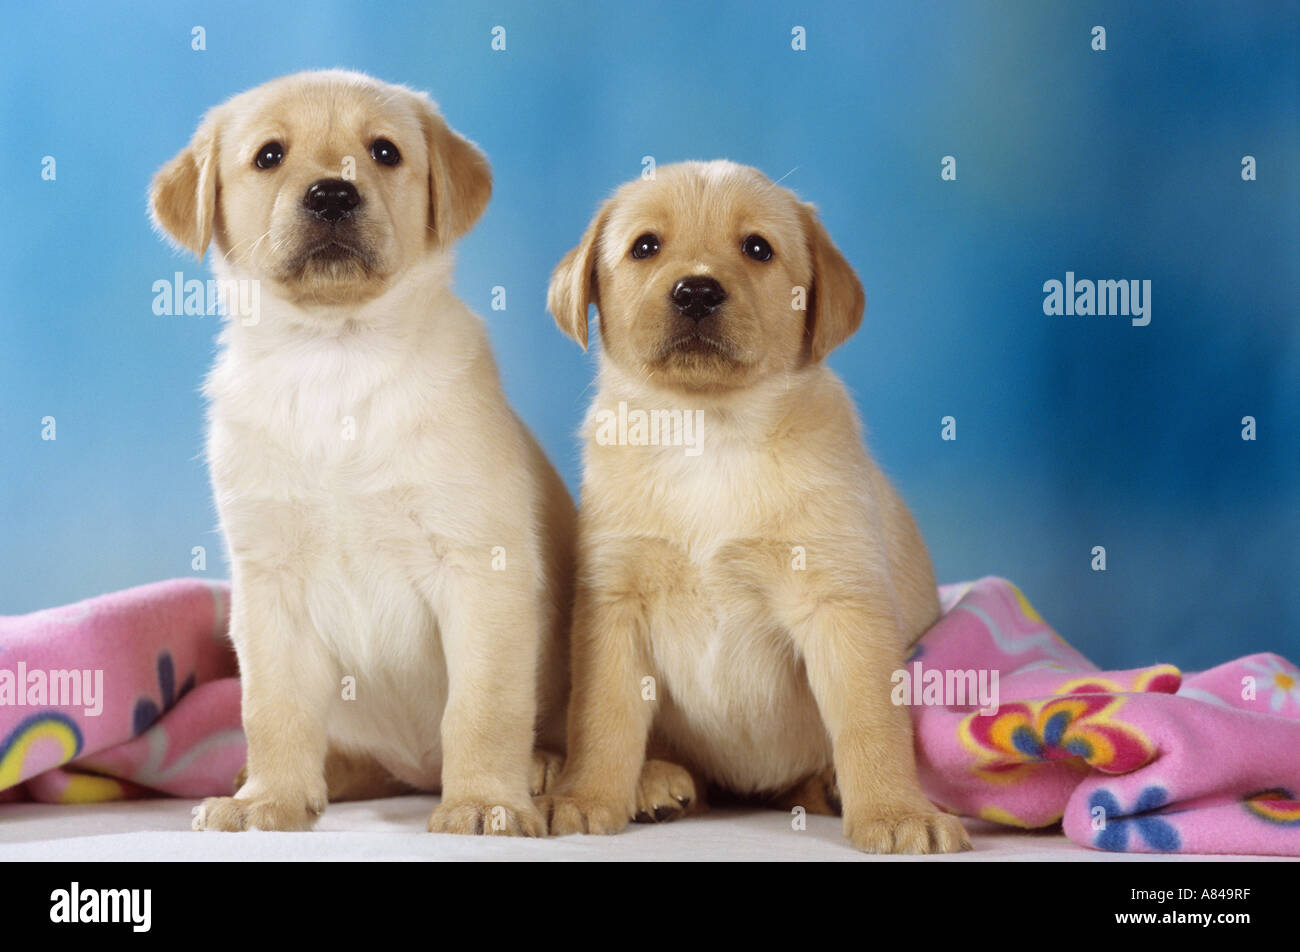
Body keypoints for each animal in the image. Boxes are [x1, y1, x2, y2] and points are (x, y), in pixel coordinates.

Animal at [149, 70, 572, 837]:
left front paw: (485, 801)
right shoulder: (269, 583)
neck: (335, 356)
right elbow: (272, 710)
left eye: (383, 152)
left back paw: (551, 770)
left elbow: (484, 707)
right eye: (269, 156)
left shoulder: (480, 567)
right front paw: (270, 799)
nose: (332, 194)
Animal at [535, 159, 967, 853]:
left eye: (758, 249)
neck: (709, 431)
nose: (696, 292)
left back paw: (829, 788)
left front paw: (896, 812)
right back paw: (655, 782)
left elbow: (871, 724)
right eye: (646, 247)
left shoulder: (841, 604)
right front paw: (585, 797)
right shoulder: (614, 604)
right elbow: (602, 720)